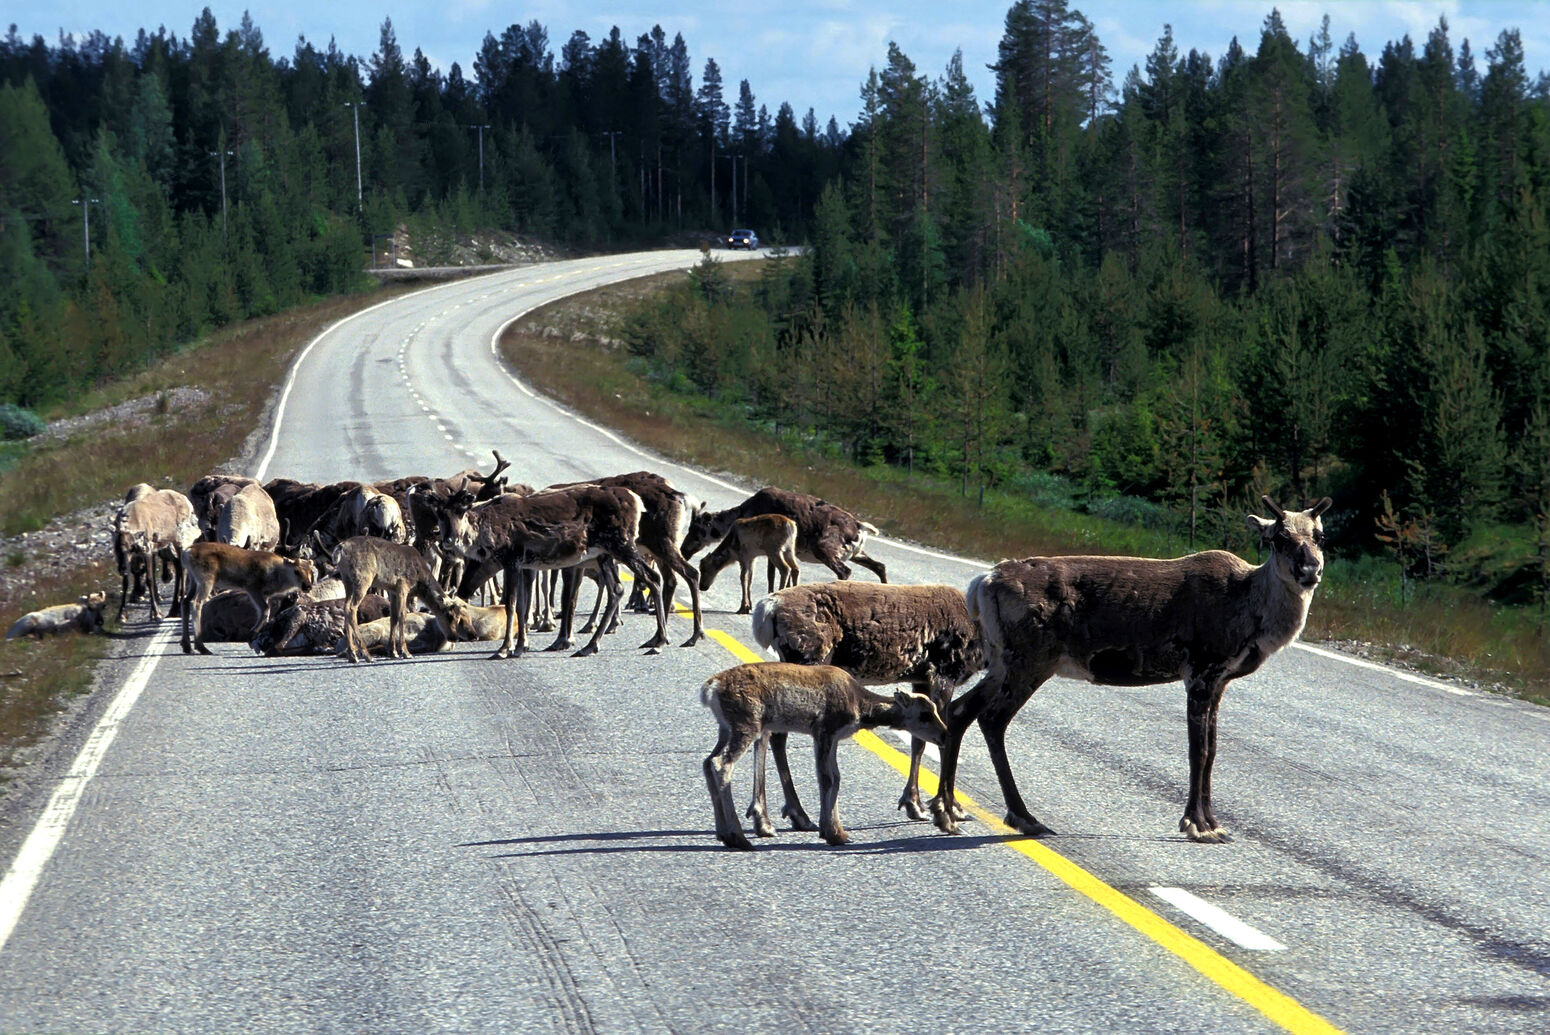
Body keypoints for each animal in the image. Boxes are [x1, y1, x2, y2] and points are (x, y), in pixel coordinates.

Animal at [703, 663, 942, 849]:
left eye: (935, 710)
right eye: (924, 715)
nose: (944, 733)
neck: (860, 706)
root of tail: (710, 687)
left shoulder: (833, 738)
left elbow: (835, 778)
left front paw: (836, 832)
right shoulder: (824, 730)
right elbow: (827, 779)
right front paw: (834, 834)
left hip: (726, 728)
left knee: (707, 761)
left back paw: (724, 834)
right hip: (746, 725)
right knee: (720, 763)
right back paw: (738, 838)